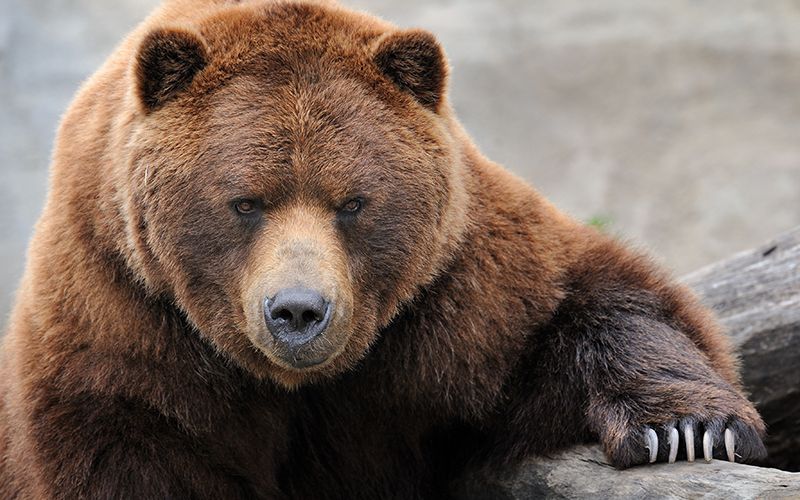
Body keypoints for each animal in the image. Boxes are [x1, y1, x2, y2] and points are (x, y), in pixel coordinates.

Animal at [0, 0, 766, 498]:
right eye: (246, 202)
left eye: (352, 202)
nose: (299, 312)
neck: (301, 384)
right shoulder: (124, 323)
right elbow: (133, 450)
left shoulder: (454, 295)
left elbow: (592, 304)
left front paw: (689, 430)